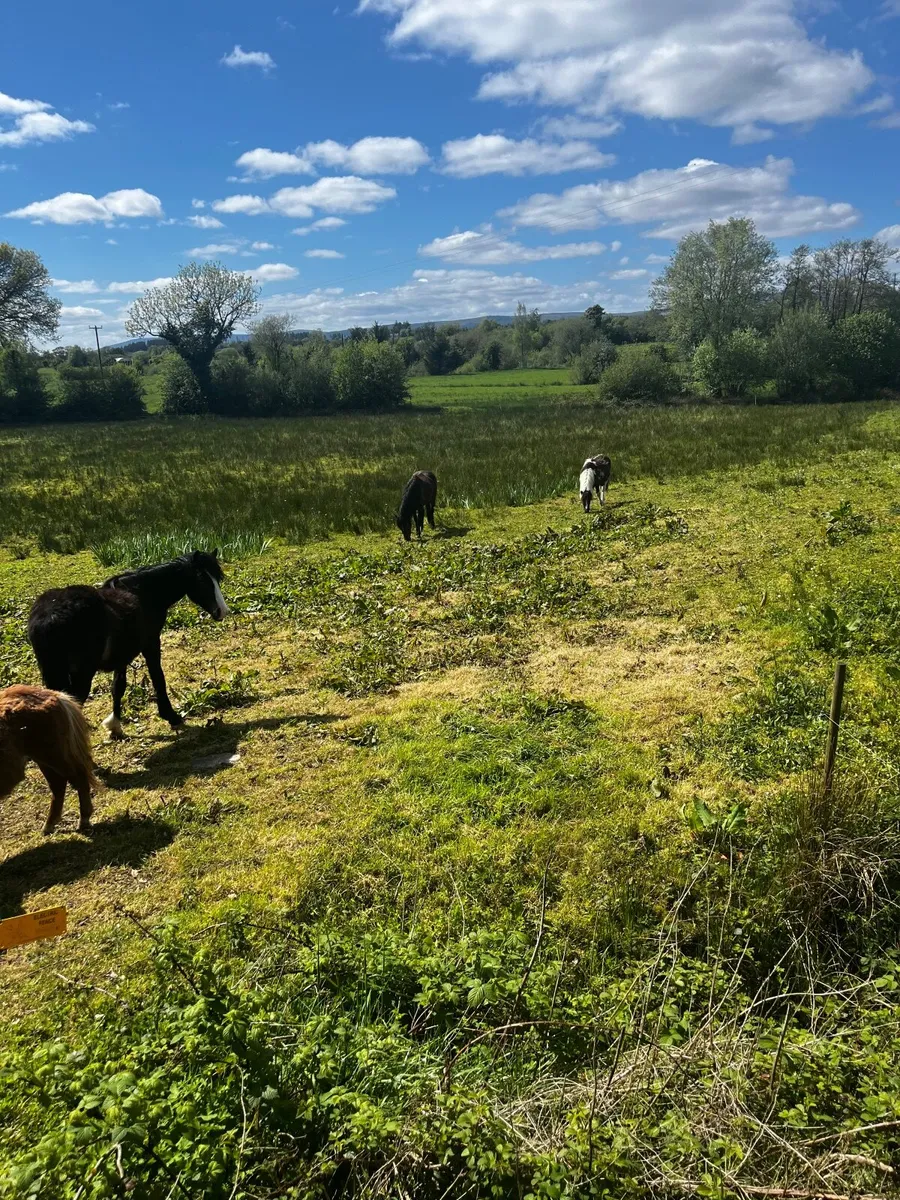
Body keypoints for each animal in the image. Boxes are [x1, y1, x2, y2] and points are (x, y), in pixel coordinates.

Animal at [0, 685, 99, 835]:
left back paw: (83, 821)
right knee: (59, 786)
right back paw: (50, 825)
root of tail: (56, 696)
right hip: (45, 760)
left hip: (51, 756)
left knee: (77, 779)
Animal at [28, 549, 229, 740]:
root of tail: (50, 616)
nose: (222, 611)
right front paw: (171, 716)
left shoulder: (122, 656)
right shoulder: (151, 643)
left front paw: (115, 726)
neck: (142, 592)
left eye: (218, 578)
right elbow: (158, 677)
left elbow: (118, 687)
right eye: (202, 579)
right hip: (82, 676)